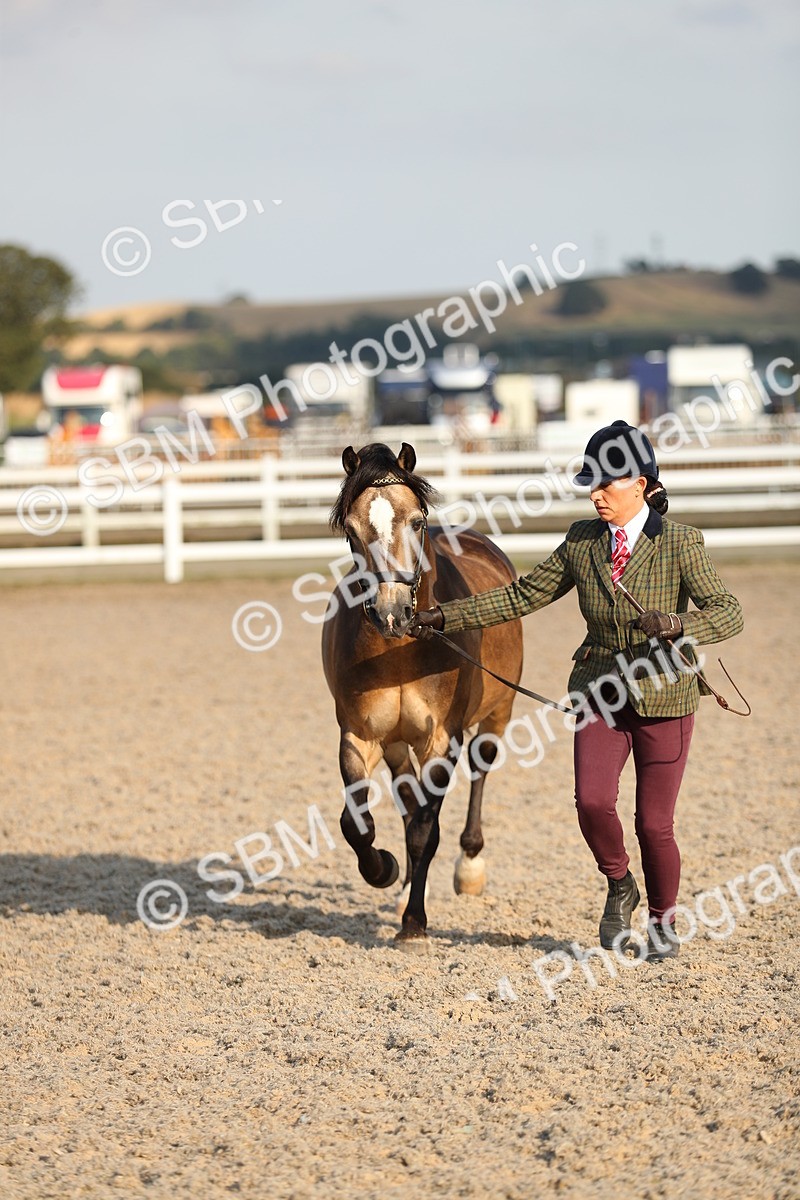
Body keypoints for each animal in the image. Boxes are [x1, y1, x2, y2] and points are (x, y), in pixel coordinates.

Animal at [321, 442, 524, 951]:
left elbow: (425, 834)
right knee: (408, 802)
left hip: (497, 715)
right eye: (351, 531)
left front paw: (414, 924)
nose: (391, 612)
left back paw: (469, 868)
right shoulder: (360, 739)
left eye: (415, 522)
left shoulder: (441, 742)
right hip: (397, 746)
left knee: (479, 772)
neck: (398, 651)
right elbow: (358, 824)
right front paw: (384, 871)